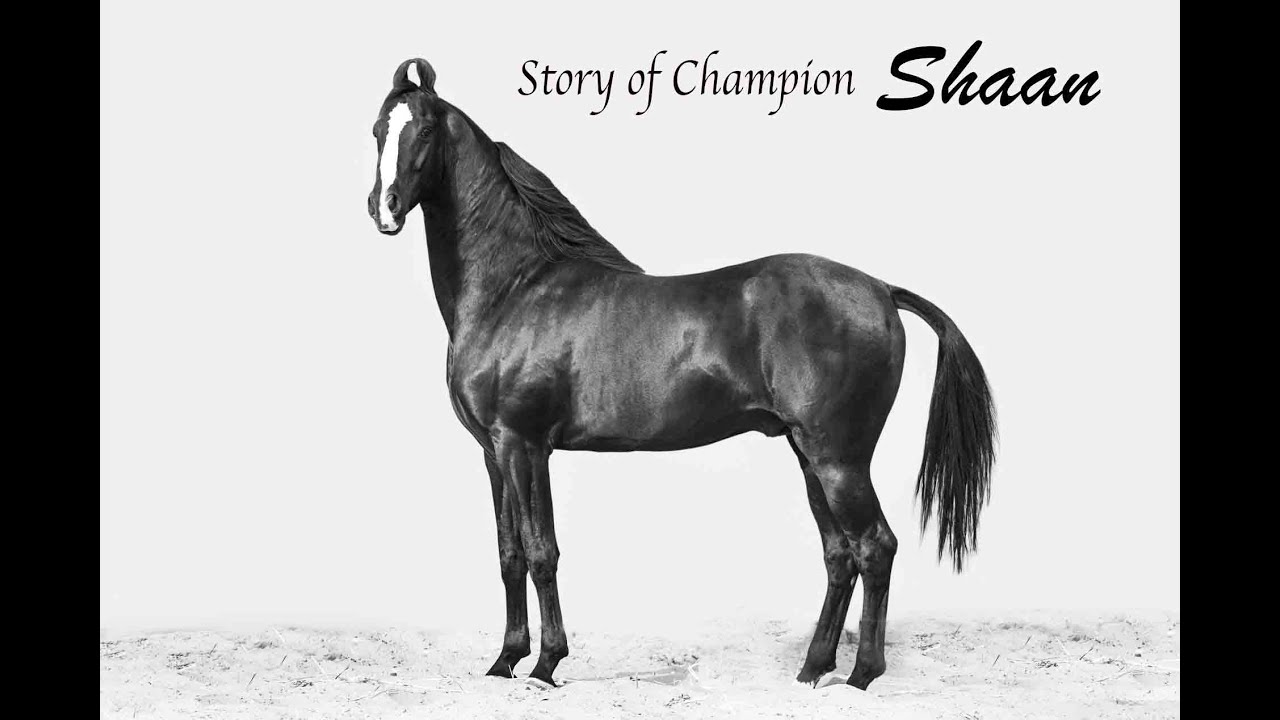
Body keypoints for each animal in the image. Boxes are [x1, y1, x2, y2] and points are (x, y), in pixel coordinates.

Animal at [366, 58, 997, 690]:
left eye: (424, 130)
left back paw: (862, 676)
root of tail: (881, 289)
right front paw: (504, 662)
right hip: (809, 455)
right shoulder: (493, 452)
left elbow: (543, 552)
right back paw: (812, 669)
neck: (517, 289)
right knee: (840, 554)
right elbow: (508, 553)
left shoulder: (524, 445)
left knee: (874, 546)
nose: (385, 207)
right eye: (376, 130)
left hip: (839, 458)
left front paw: (545, 664)